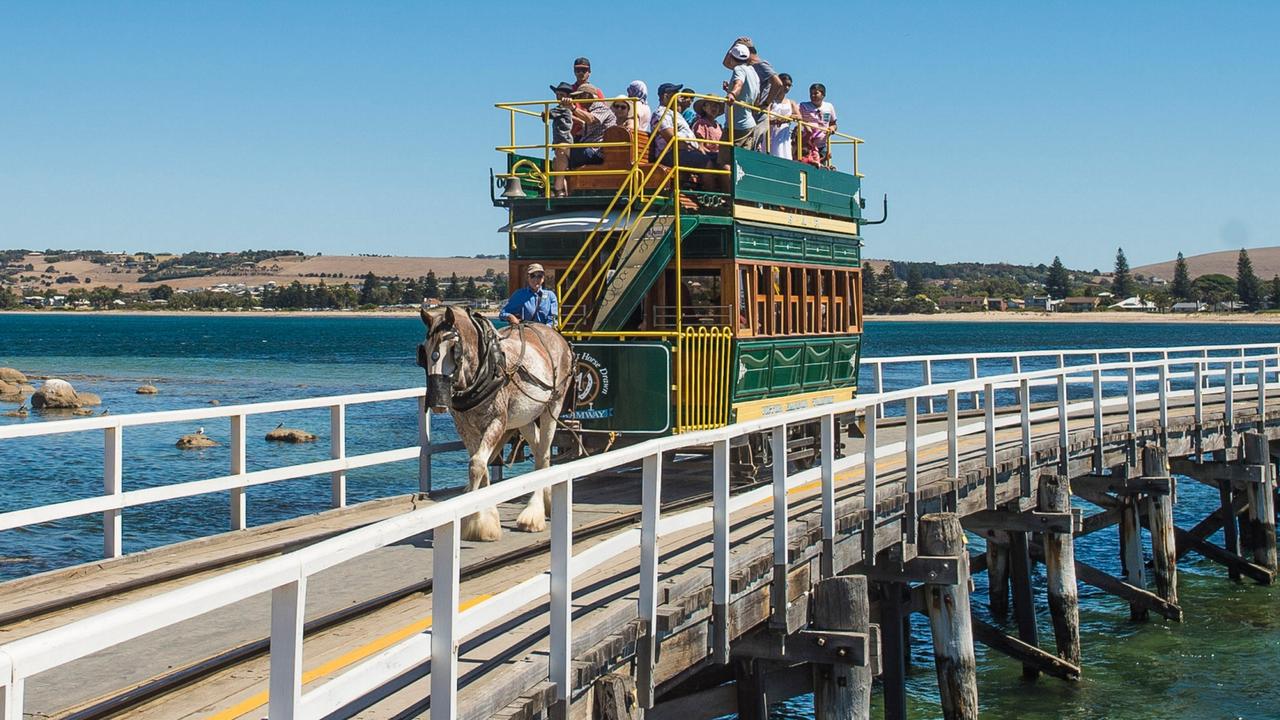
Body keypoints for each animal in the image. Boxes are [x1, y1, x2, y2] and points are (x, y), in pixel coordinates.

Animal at [414, 302, 576, 538]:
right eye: (424, 351)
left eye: (453, 348)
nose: (437, 401)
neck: (484, 369)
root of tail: (556, 336)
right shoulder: (465, 427)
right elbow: (481, 465)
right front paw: (484, 519)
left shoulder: (497, 422)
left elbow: (477, 464)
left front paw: (474, 521)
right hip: (525, 417)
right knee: (539, 452)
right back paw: (546, 502)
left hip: (553, 405)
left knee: (544, 452)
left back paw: (533, 514)